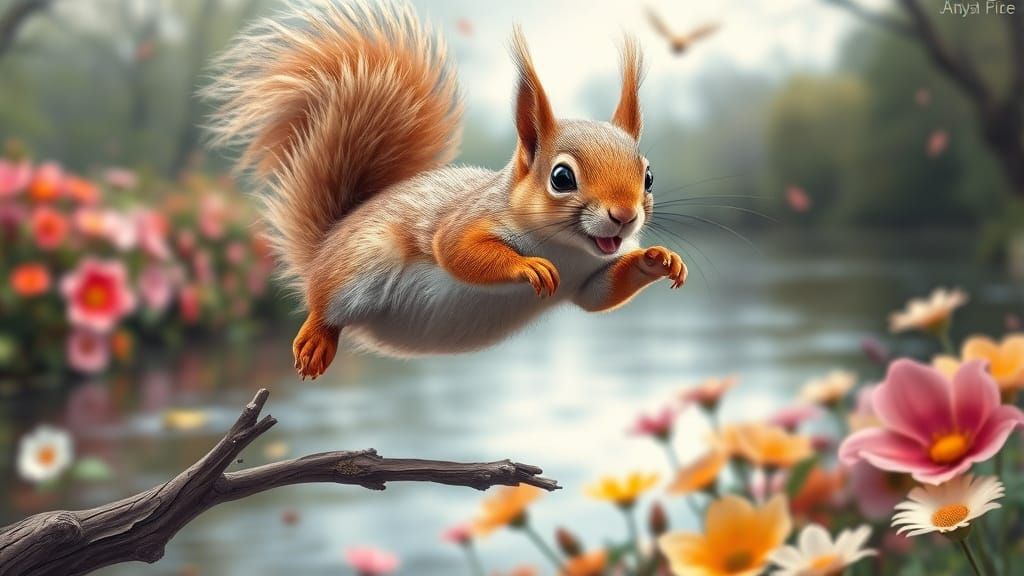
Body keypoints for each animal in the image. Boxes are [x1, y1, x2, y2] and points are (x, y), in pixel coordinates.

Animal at [207, 0, 687, 379]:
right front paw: (526, 266)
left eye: (648, 177)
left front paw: (657, 259)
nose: (624, 217)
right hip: (359, 263)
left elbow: (599, 297)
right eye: (561, 178)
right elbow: (456, 249)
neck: (566, 249)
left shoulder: (584, 279)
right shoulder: (467, 217)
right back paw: (315, 339)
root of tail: (326, 244)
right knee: (325, 303)